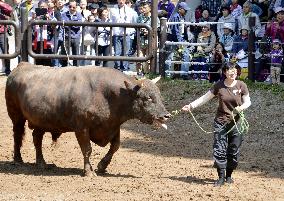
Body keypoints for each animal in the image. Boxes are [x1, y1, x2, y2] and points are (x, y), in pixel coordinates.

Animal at [5, 62, 171, 175]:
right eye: (148, 97)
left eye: (159, 95)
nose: (166, 115)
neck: (106, 94)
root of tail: (21, 65)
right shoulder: (81, 128)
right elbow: (87, 149)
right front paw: (89, 171)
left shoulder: (113, 125)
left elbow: (115, 146)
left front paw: (102, 166)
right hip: (16, 117)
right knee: (17, 136)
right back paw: (18, 160)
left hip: (41, 121)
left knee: (36, 138)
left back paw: (41, 163)